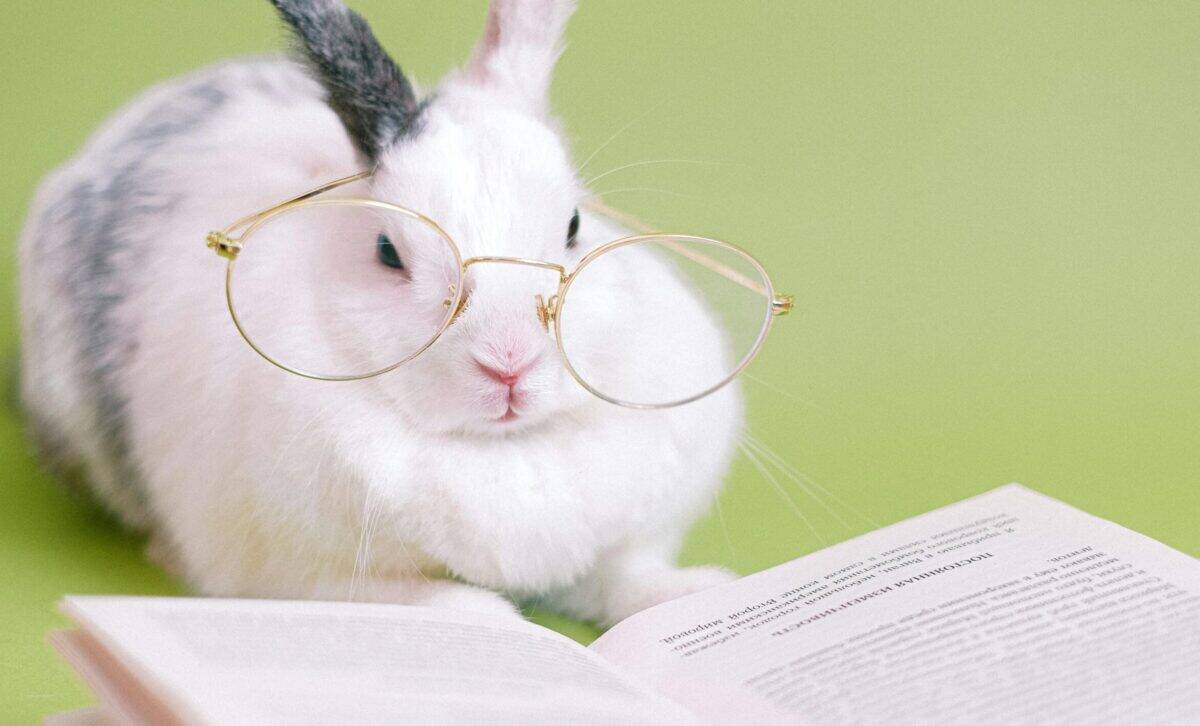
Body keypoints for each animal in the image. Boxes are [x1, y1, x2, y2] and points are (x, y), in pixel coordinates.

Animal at [19, 0, 742, 626]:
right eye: (388, 252)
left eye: (573, 226)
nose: (509, 363)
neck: (501, 451)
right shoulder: (297, 573)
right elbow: (419, 600)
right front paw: (496, 621)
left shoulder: (622, 542)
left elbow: (625, 579)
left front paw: (698, 592)